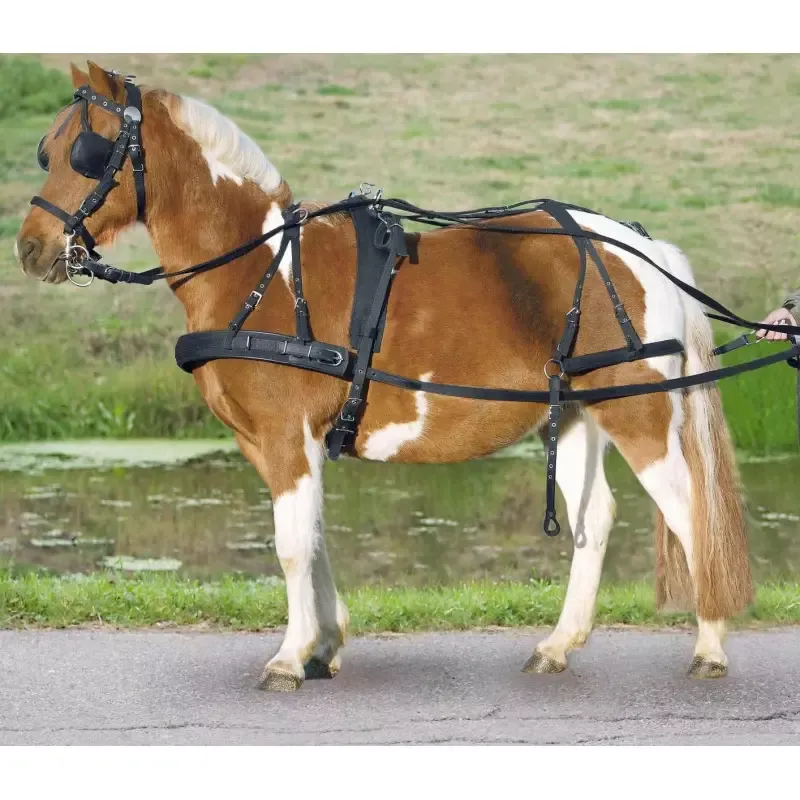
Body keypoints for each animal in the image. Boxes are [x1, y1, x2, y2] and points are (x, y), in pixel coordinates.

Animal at [15, 61, 752, 691]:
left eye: (89, 152)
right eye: (47, 151)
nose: (30, 248)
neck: (260, 269)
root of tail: (645, 249)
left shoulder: (285, 435)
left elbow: (290, 545)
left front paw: (289, 656)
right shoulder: (281, 444)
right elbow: (311, 537)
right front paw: (324, 645)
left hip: (638, 413)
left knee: (690, 510)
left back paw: (710, 644)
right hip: (576, 411)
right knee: (593, 519)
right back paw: (557, 645)